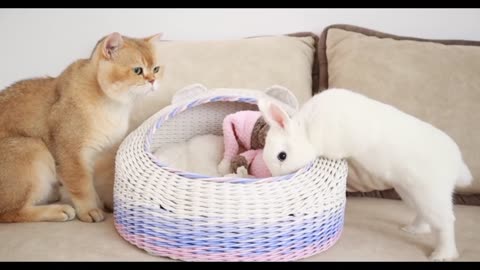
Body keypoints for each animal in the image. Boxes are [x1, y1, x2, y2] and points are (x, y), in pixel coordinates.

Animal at [0, 31, 164, 223]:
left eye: (156, 69)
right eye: (138, 70)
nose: (153, 80)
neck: (112, 105)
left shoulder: (101, 155)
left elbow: (100, 183)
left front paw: (107, 203)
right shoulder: (72, 154)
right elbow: (82, 186)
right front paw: (90, 210)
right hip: (32, 147)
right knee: (11, 212)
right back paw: (58, 210)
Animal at [258, 87, 472, 260]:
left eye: (282, 156)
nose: (275, 176)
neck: (308, 131)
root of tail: (457, 164)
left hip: (431, 194)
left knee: (445, 223)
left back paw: (442, 255)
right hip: (411, 193)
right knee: (424, 216)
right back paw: (413, 230)